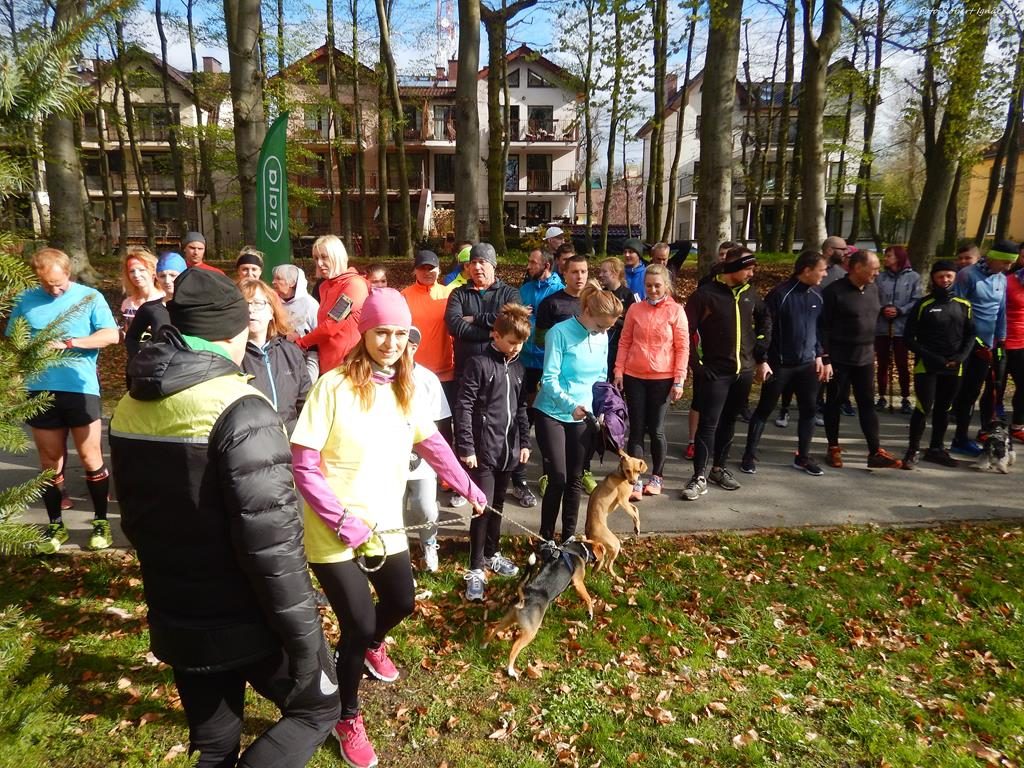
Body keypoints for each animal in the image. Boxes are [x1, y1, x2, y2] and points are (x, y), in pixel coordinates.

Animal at [483, 538, 605, 678]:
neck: (578, 549)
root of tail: (525, 594)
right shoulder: (578, 583)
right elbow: (588, 598)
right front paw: (590, 613)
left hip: (508, 619)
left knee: (494, 629)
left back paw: (484, 645)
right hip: (530, 632)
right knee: (514, 648)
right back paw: (511, 670)